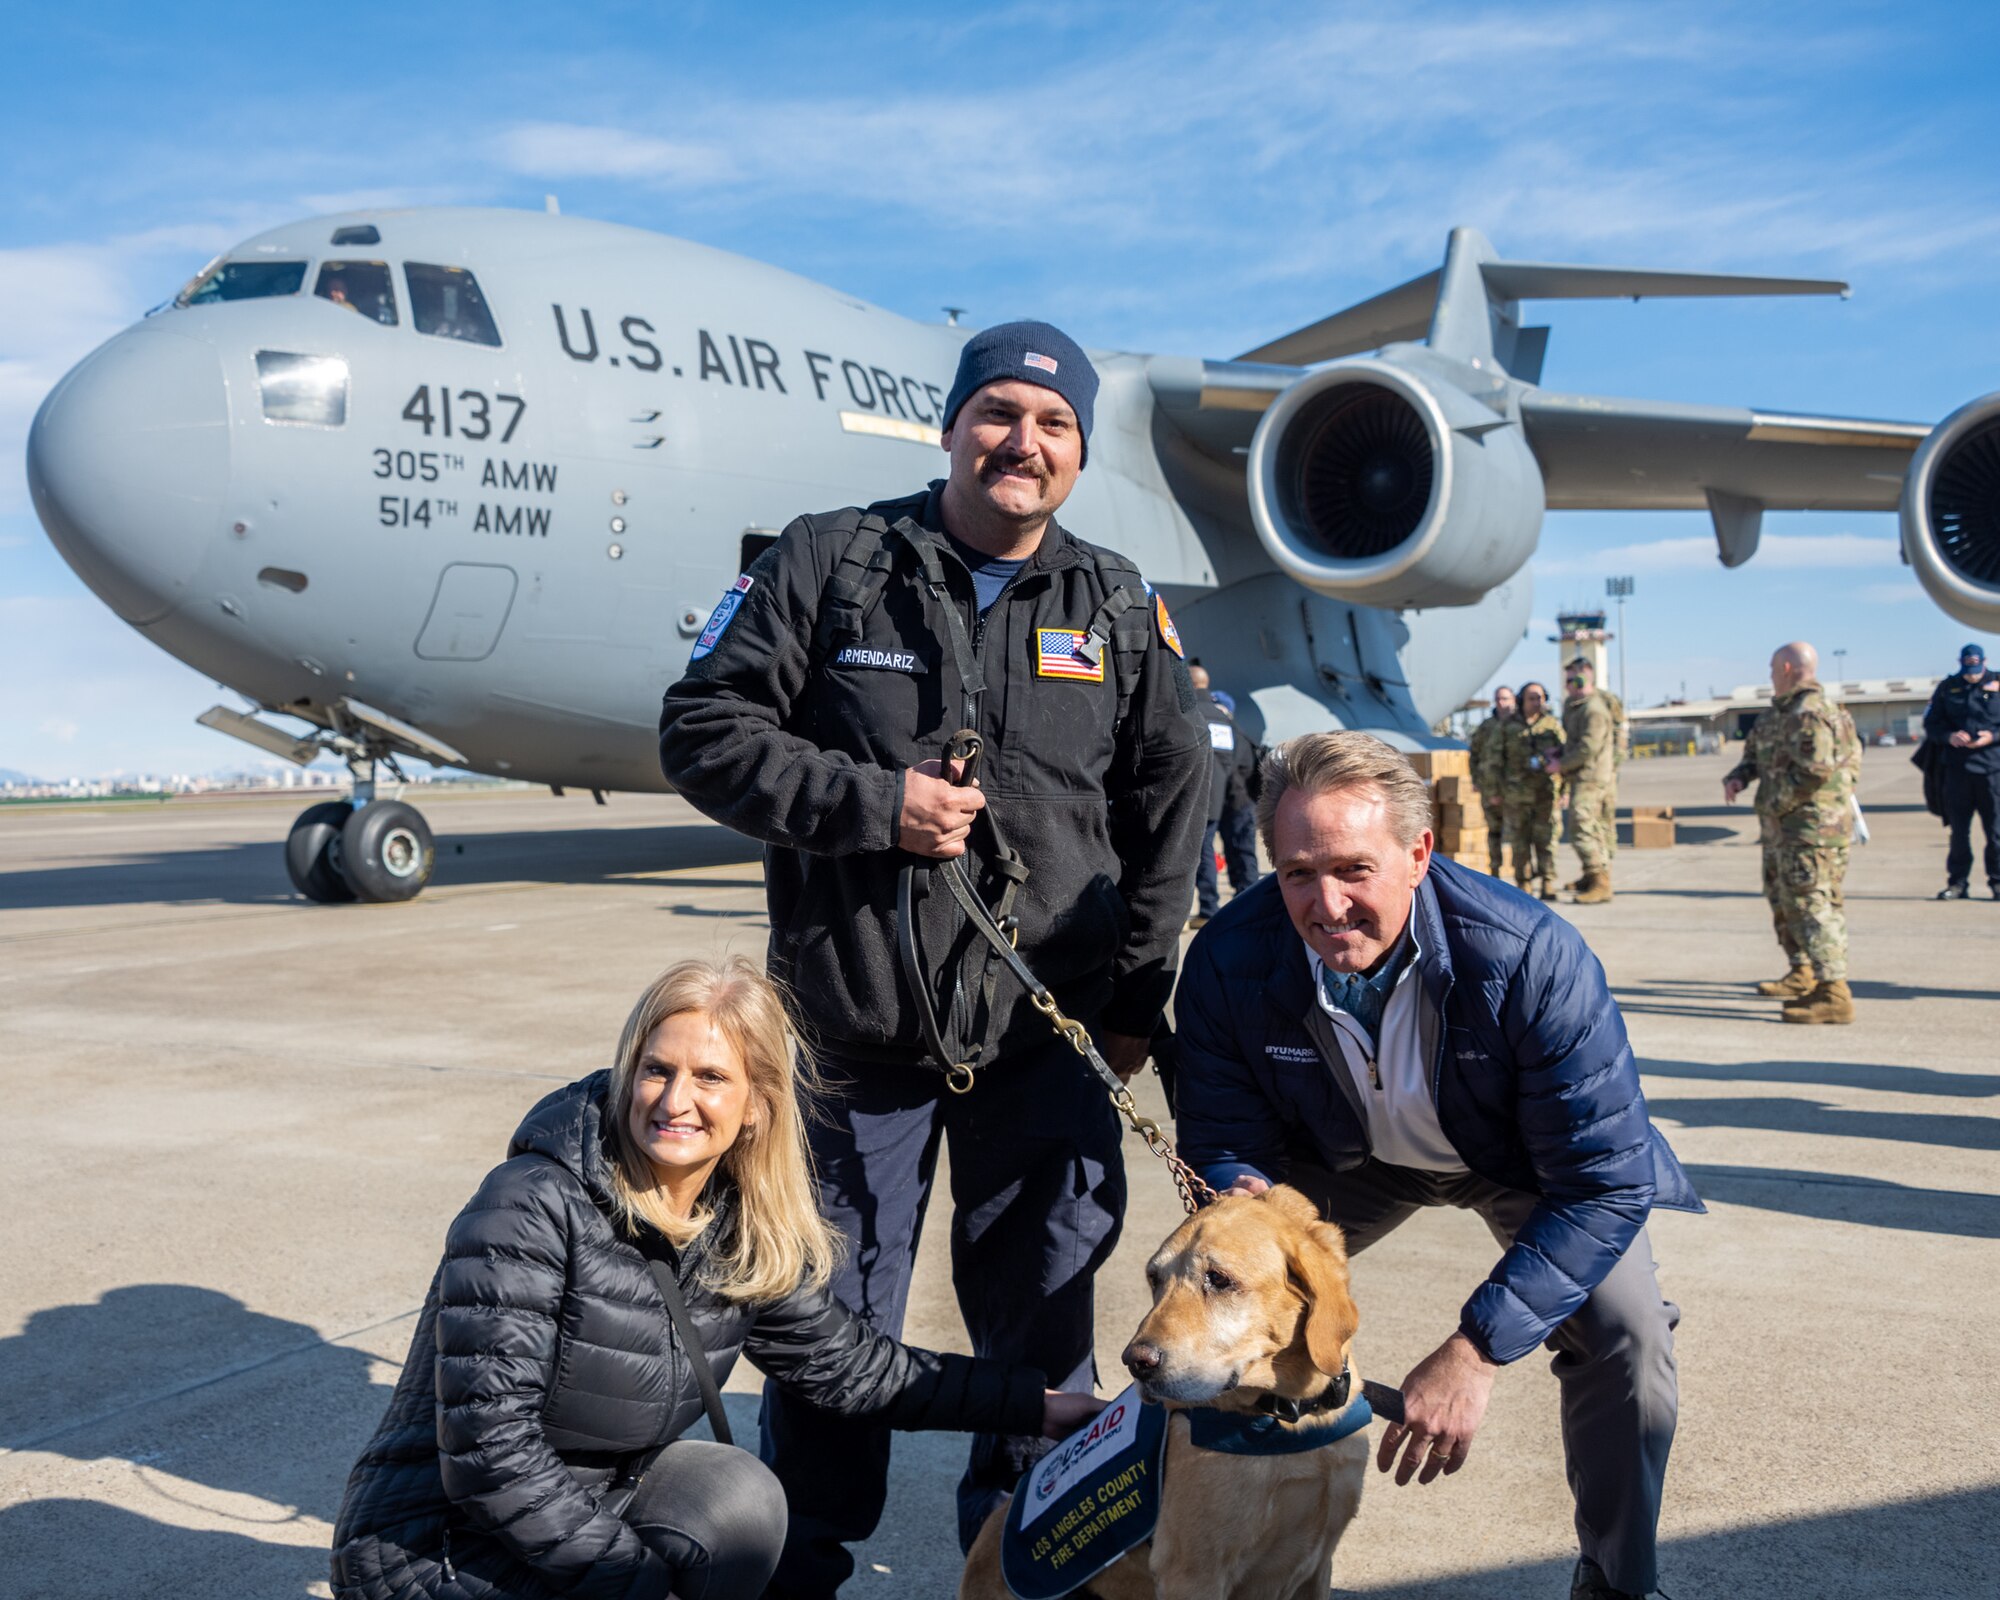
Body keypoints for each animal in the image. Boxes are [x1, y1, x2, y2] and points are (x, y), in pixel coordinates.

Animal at [960, 1184, 1368, 1600]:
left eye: (1218, 1278)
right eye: (1154, 1278)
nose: (1135, 1362)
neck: (1287, 1415)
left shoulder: (1318, 1564)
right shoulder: (1193, 1575)